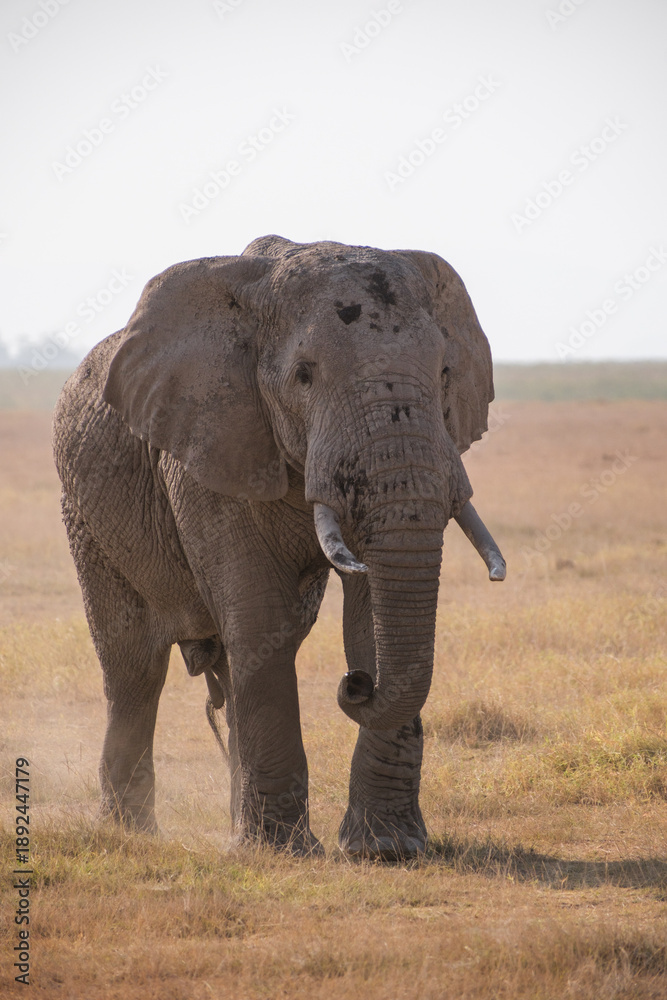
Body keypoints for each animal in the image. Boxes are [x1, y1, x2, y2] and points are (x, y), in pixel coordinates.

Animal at [53, 235, 505, 859]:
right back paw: (131, 832)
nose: (355, 686)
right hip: (86, 519)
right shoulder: (206, 447)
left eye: (443, 372)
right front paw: (282, 852)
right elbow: (259, 618)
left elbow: (366, 614)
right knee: (134, 667)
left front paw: (386, 850)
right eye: (304, 375)